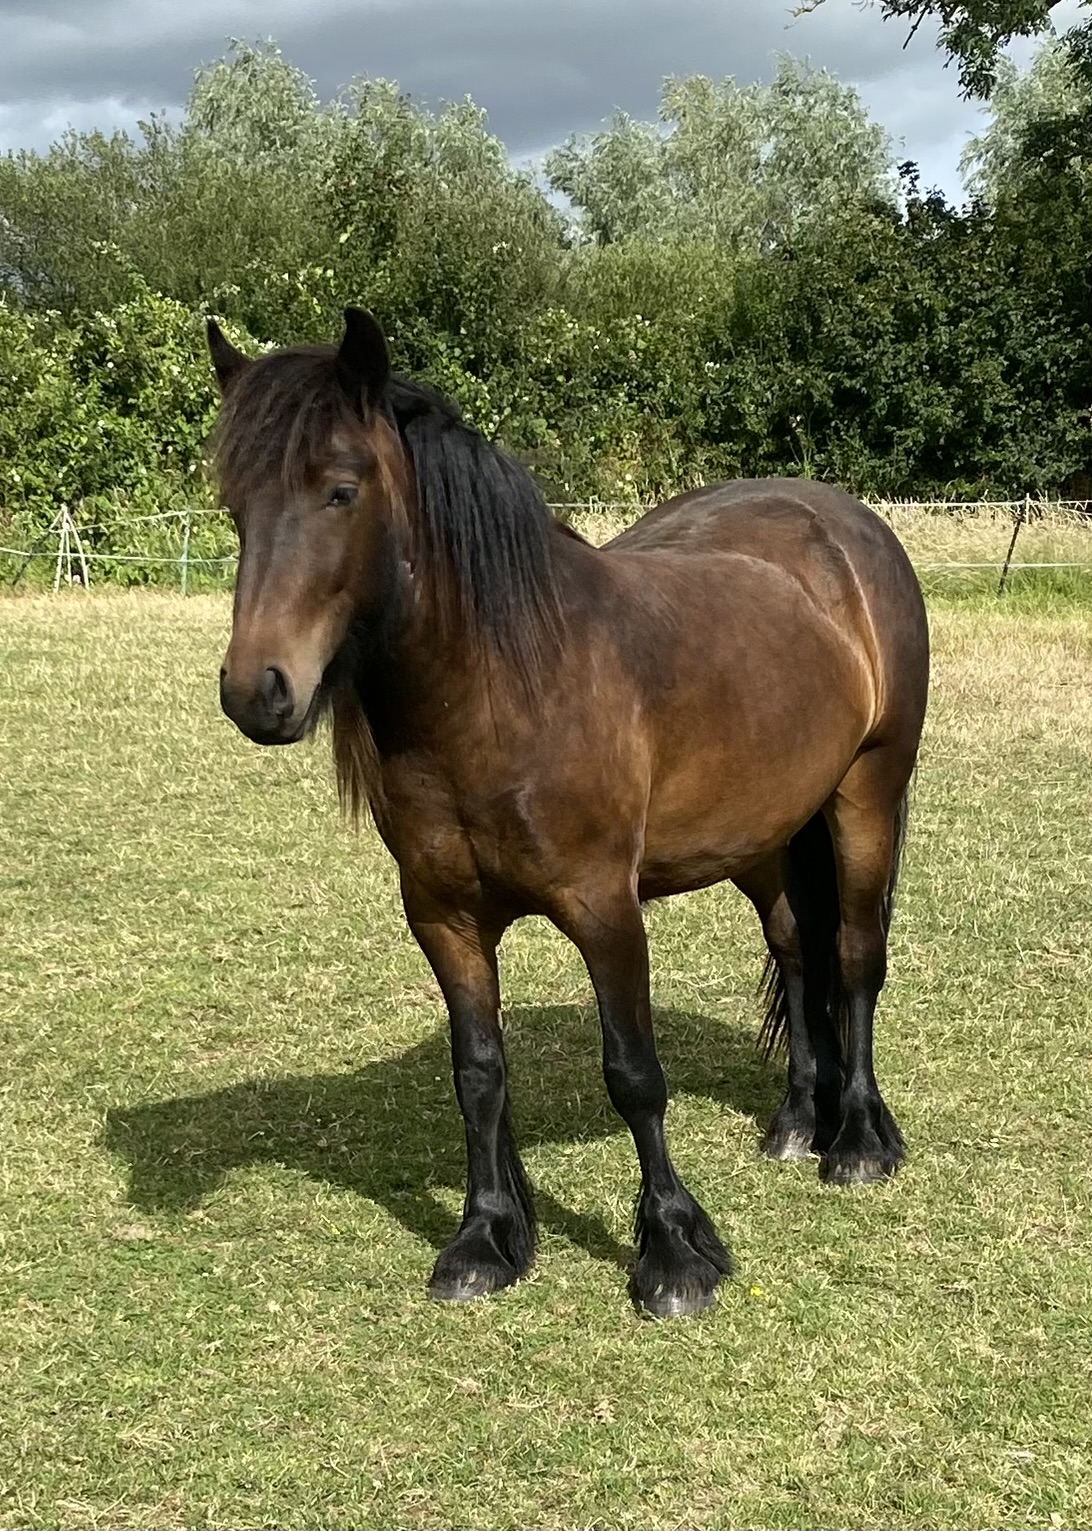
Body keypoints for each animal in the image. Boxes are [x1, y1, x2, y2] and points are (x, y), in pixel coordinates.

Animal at [206, 307, 929, 1319]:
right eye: (235, 507)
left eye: (340, 491)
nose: (256, 692)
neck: (503, 688)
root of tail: (849, 526)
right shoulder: (443, 916)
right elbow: (478, 1073)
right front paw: (484, 1240)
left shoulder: (604, 908)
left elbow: (634, 1074)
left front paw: (673, 1251)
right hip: (764, 831)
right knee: (796, 946)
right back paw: (796, 1122)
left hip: (867, 794)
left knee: (857, 955)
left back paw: (857, 1139)